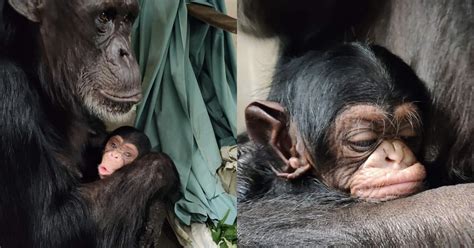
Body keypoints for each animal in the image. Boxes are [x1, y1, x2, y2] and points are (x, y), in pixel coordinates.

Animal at [0, 0, 180, 248]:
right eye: (104, 16)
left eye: (127, 19)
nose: (125, 53)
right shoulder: (9, 94)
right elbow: (48, 230)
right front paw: (162, 167)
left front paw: (156, 211)